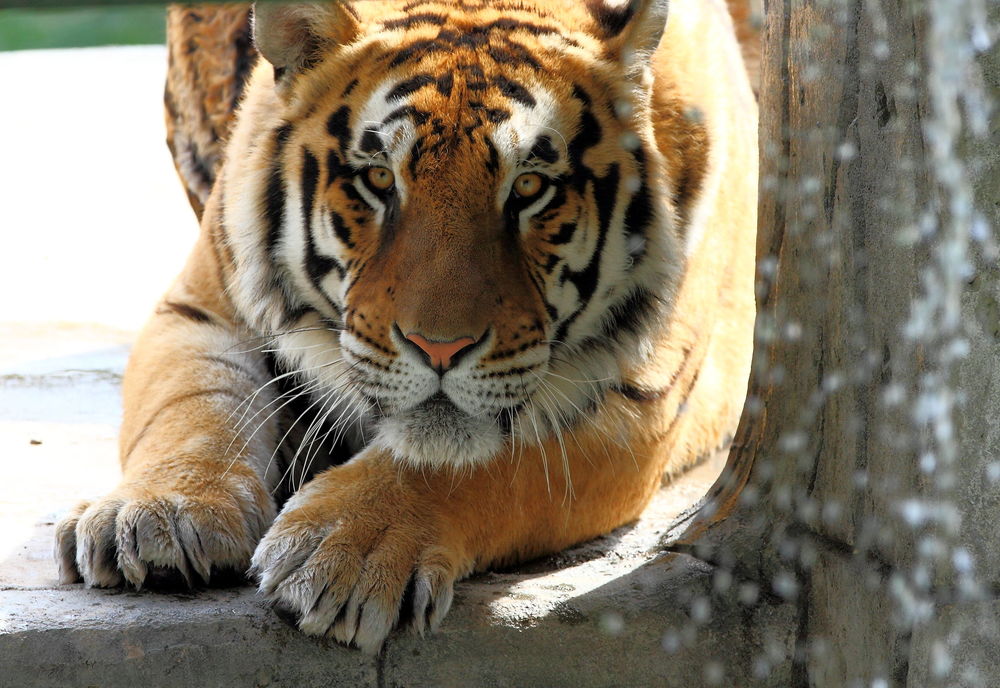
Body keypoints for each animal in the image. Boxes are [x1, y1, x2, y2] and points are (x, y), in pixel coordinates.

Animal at [54, 0, 758, 653]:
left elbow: (479, 461)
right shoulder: (199, 307)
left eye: (530, 188)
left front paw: (342, 552)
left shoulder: (642, 390)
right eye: (377, 179)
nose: (439, 348)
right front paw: (155, 516)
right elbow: (189, 408)